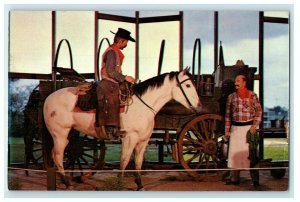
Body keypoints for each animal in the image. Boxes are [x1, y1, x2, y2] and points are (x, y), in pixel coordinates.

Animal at [42, 68, 202, 190]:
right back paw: (67, 183)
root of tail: (48, 98)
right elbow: (124, 161)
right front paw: (119, 184)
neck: (143, 106)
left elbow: (138, 162)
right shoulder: (130, 138)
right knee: (58, 155)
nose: (199, 107)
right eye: (188, 85)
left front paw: (139, 185)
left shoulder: (143, 141)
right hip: (60, 134)